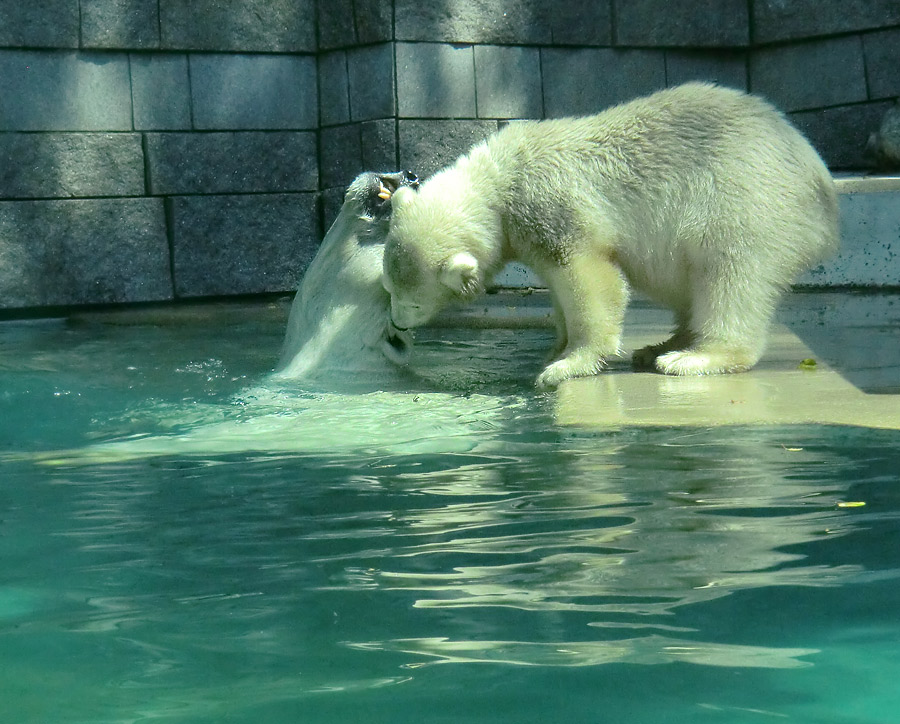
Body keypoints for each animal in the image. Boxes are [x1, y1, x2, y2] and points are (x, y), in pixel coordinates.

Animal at [384, 83, 840, 390]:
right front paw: (555, 347)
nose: (396, 323)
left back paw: (693, 356)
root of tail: (820, 182)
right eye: (389, 289)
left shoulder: (554, 207)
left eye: (413, 301)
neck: (500, 178)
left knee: (730, 273)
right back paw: (659, 346)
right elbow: (558, 287)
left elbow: (591, 279)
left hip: (745, 201)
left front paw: (565, 365)